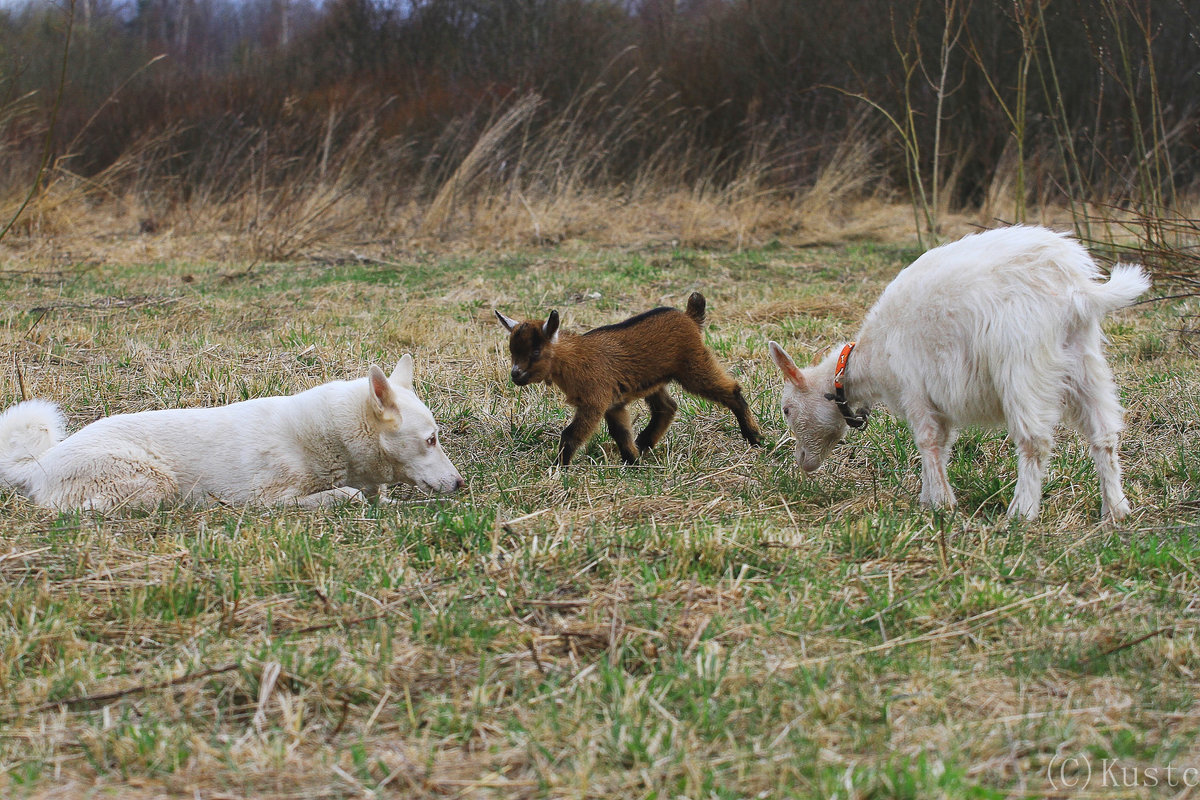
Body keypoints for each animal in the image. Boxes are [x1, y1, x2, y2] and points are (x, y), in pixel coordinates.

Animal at [0, 357, 463, 513]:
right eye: (431, 440)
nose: (460, 484)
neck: (327, 436)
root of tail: (40, 463)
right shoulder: (264, 500)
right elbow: (343, 497)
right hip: (152, 482)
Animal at [494, 292, 758, 470]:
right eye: (512, 351)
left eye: (536, 352)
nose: (515, 375)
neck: (573, 359)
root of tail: (689, 317)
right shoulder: (614, 404)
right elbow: (620, 432)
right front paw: (633, 461)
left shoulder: (594, 401)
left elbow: (571, 434)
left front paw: (559, 468)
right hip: (654, 380)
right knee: (667, 408)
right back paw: (644, 443)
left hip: (694, 365)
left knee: (731, 390)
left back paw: (754, 438)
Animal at [768, 225, 1152, 520]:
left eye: (787, 409)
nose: (802, 462)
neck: (867, 359)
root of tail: (1077, 291)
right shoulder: (937, 401)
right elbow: (942, 444)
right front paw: (929, 497)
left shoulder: (914, 388)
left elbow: (927, 441)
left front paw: (941, 504)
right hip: (1086, 363)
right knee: (1104, 435)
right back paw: (1116, 510)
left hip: (1024, 364)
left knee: (1035, 441)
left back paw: (1022, 512)